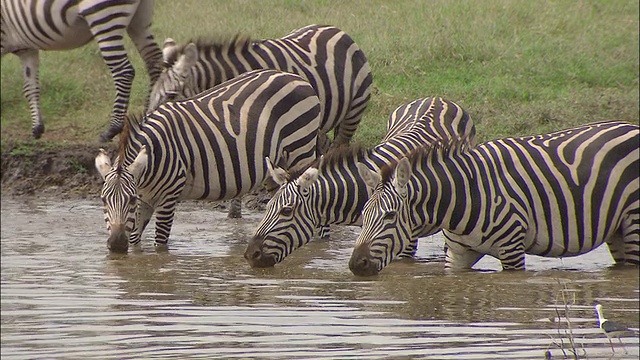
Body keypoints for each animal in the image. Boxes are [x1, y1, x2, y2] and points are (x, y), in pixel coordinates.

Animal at [1, 0, 165, 142]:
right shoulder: (27, 50)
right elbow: (30, 89)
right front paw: (37, 129)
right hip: (140, 19)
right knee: (154, 61)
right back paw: (148, 115)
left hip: (103, 16)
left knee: (123, 71)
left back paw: (112, 129)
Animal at [92, 69, 322, 253]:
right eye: (103, 200)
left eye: (130, 200)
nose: (116, 246)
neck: (154, 157)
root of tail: (296, 77)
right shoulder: (145, 198)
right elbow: (135, 240)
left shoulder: (169, 196)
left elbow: (161, 244)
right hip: (274, 165)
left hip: (301, 148)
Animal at [148, 23, 372, 150]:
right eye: (151, 96)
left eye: (171, 95)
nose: (148, 131)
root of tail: (338, 31)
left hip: (353, 111)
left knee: (339, 145)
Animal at [352, 121, 636, 276]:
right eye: (363, 216)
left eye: (390, 216)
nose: (356, 265)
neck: (463, 196)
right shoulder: (458, 254)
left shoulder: (512, 249)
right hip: (617, 229)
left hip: (634, 221)